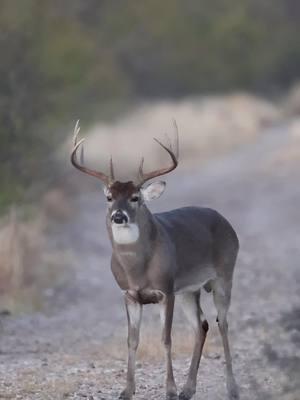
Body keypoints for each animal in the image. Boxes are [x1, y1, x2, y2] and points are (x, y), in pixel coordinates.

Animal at [70, 122, 239, 400]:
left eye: (135, 198)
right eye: (109, 197)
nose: (118, 216)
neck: (137, 268)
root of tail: (226, 222)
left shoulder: (165, 290)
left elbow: (166, 338)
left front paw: (169, 389)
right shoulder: (128, 294)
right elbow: (132, 340)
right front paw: (127, 390)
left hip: (225, 274)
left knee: (222, 324)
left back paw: (231, 388)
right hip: (189, 290)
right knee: (201, 325)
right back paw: (188, 389)